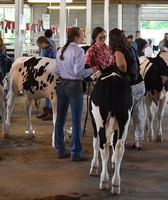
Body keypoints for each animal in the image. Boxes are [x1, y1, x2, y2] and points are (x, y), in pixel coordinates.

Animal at [89, 66, 133, 195]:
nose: (90, 77)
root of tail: (114, 79)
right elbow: (114, 143)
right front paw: (113, 162)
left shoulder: (94, 122)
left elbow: (95, 143)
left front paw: (94, 167)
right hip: (125, 120)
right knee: (119, 147)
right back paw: (116, 184)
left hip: (100, 120)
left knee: (103, 145)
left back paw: (104, 181)